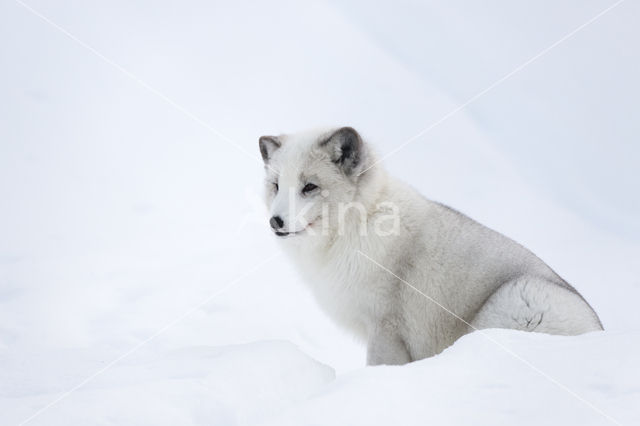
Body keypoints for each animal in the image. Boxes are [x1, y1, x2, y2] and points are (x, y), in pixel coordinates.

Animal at [258, 127, 604, 366]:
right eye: (276, 185)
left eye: (310, 187)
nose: (275, 221)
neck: (360, 222)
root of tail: (600, 333)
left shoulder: (386, 327)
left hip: (514, 303)